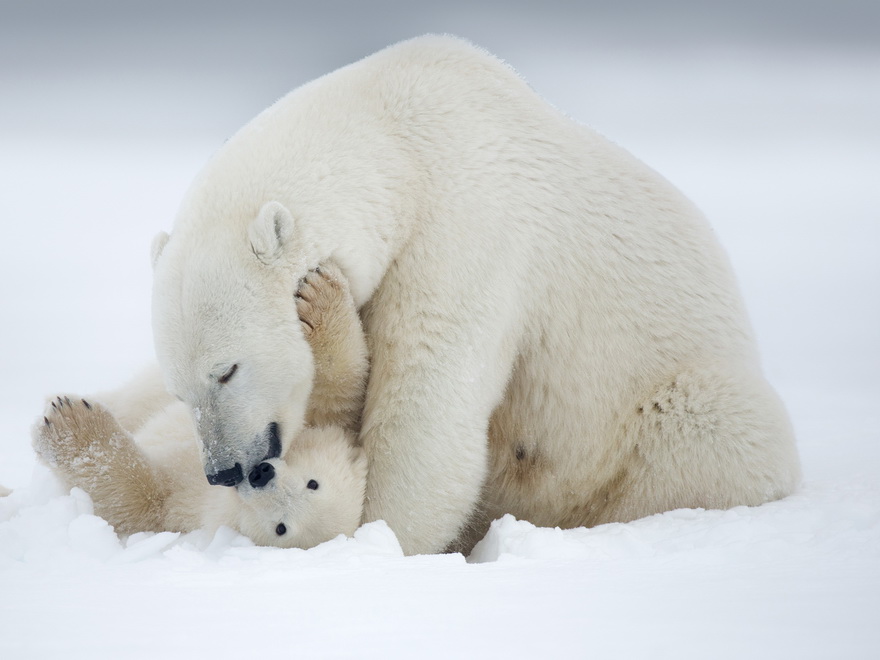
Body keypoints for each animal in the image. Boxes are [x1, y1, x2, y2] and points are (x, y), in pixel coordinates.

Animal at [150, 34, 796, 552]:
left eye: (227, 370)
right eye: (180, 389)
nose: (225, 470)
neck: (398, 141)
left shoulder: (466, 231)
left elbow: (427, 406)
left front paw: (377, 538)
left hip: (669, 407)